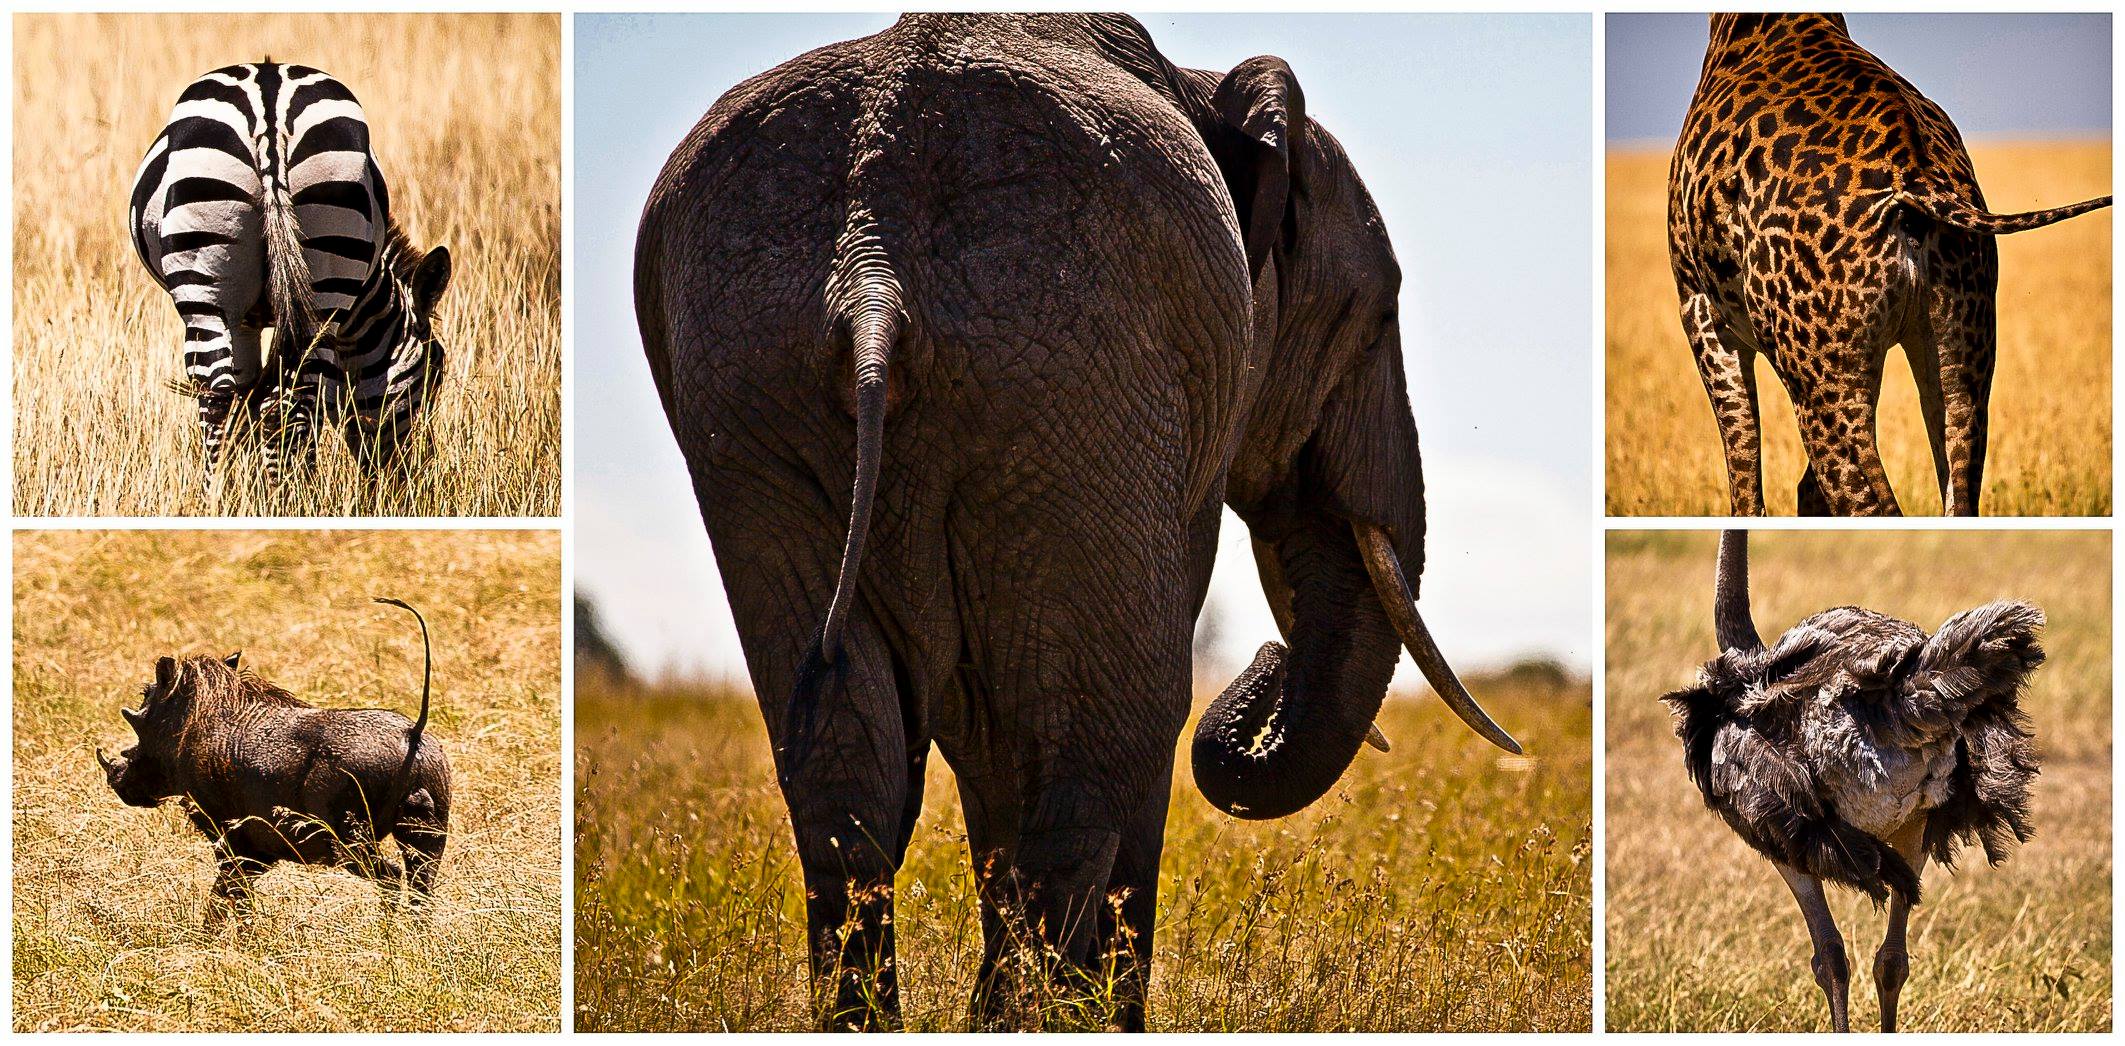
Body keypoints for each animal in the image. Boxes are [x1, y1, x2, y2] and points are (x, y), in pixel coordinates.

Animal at [128, 63, 452, 488]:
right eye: (435, 372)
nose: (404, 483)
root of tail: (270, 112)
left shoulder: (245, 321)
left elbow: (247, 404)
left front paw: (253, 486)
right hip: (322, 275)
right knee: (285, 402)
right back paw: (290, 493)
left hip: (209, 294)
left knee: (225, 403)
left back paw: (231, 493)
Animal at [637, 14, 1521, 1028]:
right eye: (1376, 317)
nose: (1267, 657)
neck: (1199, 84)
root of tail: (870, 274)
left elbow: (975, 731)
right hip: (1072, 377)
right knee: (1111, 727)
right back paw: (1043, 1013)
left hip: (760, 400)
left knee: (845, 761)